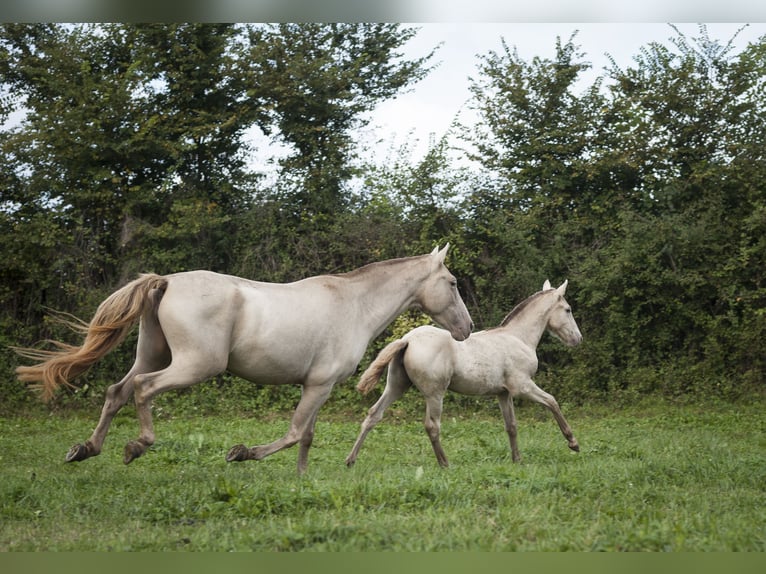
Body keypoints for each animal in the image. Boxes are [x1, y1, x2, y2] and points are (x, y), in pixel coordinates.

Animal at [15, 245, 474, 474]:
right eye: (452, 283)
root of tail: (165, 282)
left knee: (117, 391)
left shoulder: (318, 386)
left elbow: (307, 435)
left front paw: (302, 478)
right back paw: (135, 447)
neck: (353, 304)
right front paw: (241, 454)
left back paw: (85, 450)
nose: (467, 329)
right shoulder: (319, 384)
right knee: (144, 390)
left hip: (151, 353)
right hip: (194, 365)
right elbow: (294, 432)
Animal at [346, 282, 584, 470]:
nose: (578, 339)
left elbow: (512, 426)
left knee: (373, 415)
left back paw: (350, 460)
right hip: (435, 394)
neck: (518, 337)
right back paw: (444, 463)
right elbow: (552, 401)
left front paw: (517, 460)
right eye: (568, 309)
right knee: (432, 425)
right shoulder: (522, 386)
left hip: (397, 386)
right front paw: (573, 443)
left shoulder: (503, 394)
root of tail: (408, 339)